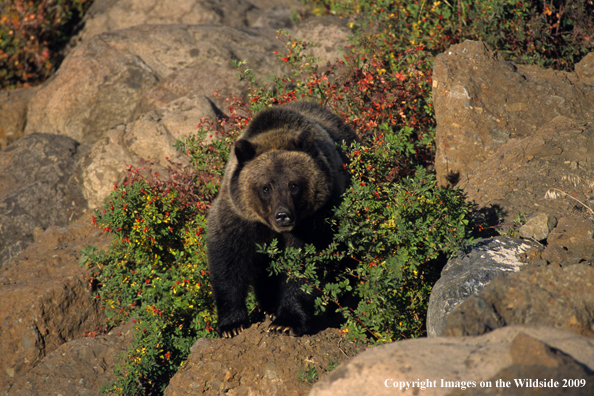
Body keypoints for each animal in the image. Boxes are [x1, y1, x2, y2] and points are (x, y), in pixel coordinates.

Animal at [207, 101, 356, 338]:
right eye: (265, 187)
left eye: (293, 184)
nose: (283, 215)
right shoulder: (238, 218)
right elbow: (228, 263)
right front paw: (232, 325)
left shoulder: (314, 221)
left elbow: (304, 267)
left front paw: (286, 322)